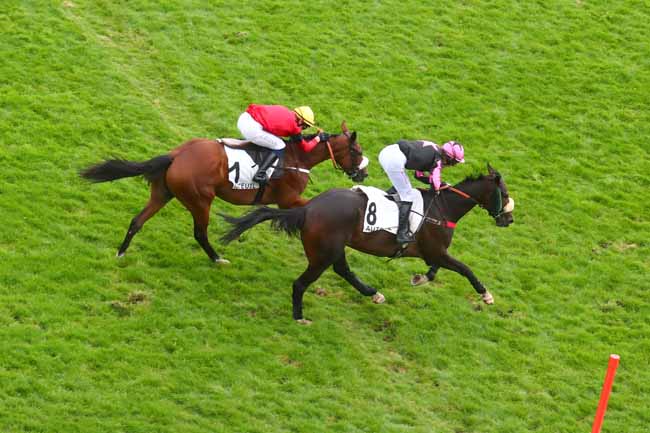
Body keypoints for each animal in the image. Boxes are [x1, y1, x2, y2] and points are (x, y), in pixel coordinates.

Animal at [80, 120, 364, 264]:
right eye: (356, 151)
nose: (363, 173)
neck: (298, 158)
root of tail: (176, 155)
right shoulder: (287, 199)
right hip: (200, 200)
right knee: (199, 233)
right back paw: (216, 258)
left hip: (163, 193)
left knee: (137, 221)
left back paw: (121, 252)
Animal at [220, 164, 512, 322]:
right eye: (505, 193)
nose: (508, 219)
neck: (443, 208)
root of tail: (307, 209)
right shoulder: (436, 251)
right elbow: (465, 269)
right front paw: (486, 295)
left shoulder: (433, 252)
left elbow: (437, 269)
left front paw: (420, 278)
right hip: (323, 254)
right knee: (301, 283)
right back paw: (299, 317)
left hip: (334, 249)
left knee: (343, 270)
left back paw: (373, 293)